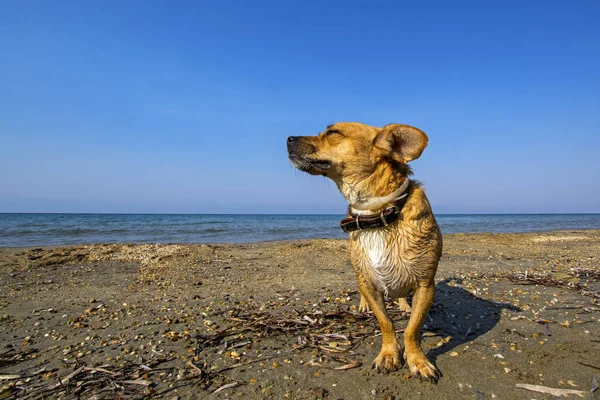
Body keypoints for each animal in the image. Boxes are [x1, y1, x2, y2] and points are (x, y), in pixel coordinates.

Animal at [288, 122, 442, 382]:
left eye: (332, 133)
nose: (288, 138)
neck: (377, 213)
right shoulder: (368, 282)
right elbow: (386, 323)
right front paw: (389, 353)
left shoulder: (425, 286)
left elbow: (412, 329)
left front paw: (417, 360)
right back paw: (364, 305)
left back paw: (403, 304)